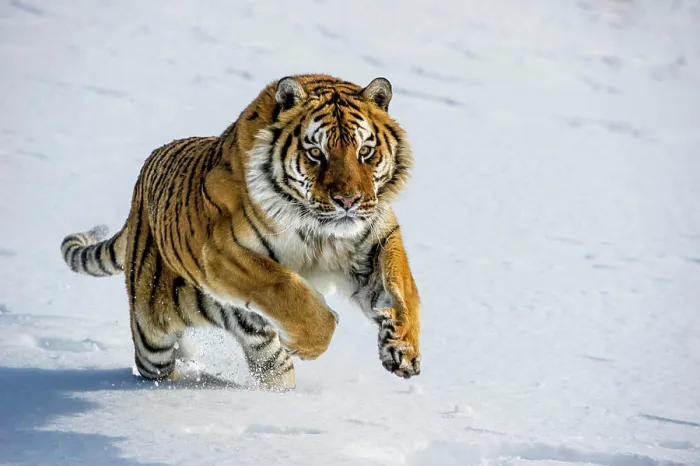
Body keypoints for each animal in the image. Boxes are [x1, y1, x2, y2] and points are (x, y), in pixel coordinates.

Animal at [60, 74, 421, 390]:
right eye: (316, 153)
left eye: (365, 152)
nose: (347, 200)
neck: (320, 231)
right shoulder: (221, 251)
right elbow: (286, 287)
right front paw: (308, 344)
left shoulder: (375, 238)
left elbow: (403, 285)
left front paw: (402, 348)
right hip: (152, 335)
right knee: (156, 364)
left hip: (258, 346)